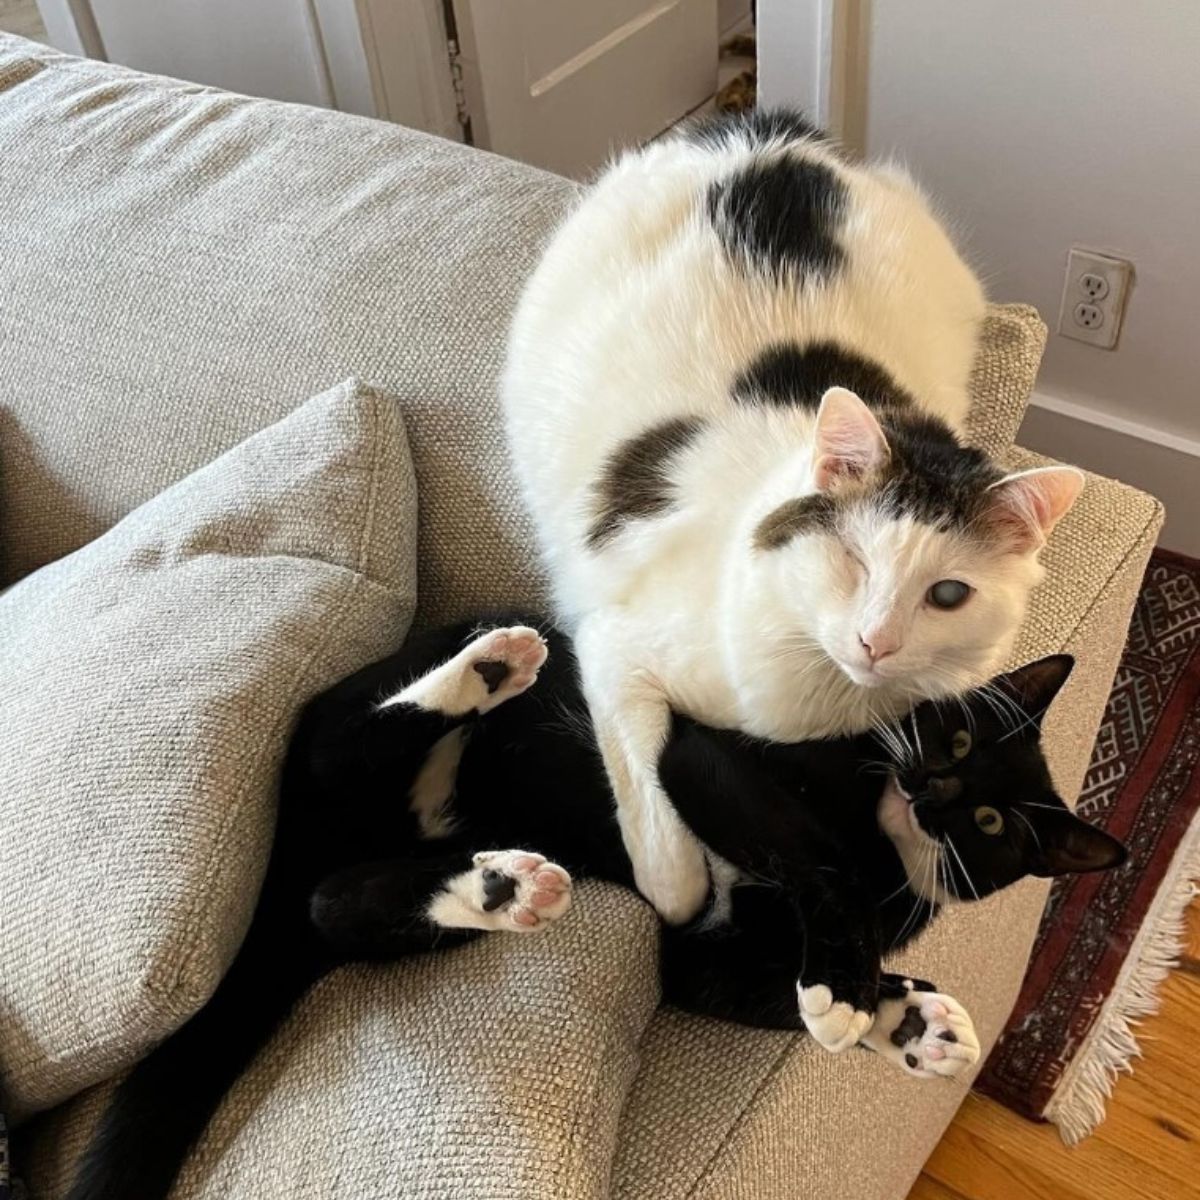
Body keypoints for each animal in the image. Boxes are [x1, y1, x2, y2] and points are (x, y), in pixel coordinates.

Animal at [68, 619, 1123, 1200]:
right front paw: (856, 990)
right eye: (957, 738)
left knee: (342, 906)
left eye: (990, 821)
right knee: (346, 747)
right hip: (347, 737)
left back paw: (498, 887)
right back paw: (487, 671)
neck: (883, 846)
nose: (932, 790)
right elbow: (808, 856)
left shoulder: (701, 955)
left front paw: (906, 1020)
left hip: (370, 881)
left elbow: (755, 984)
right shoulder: (711, 760)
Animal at [501, 108, 1084, 921]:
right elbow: (666, 852)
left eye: (947, 594)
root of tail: (771, 134)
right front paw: (683, 890)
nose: (875, 642)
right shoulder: (613, 648)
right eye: (854, 560)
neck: (819, 709)